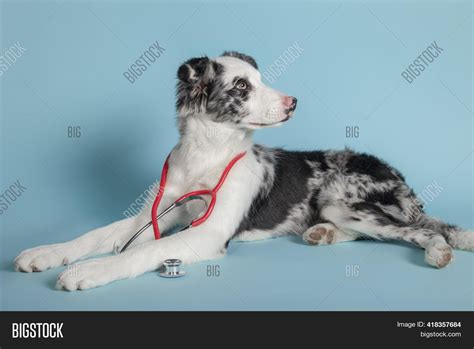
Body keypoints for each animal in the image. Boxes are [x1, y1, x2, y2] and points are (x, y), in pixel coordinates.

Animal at [14, 51, 474, 290]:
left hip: (343, 198)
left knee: (421, 230)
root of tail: (400, 178)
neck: (205, 154)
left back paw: (438, 250)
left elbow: (140, 252)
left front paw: (90, 270)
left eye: (260, 79)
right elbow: (97, 234)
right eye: (241, 86)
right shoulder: (158, 213)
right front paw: (46, 252)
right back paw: (321, 233)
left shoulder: (209, 231)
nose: (293, 102)